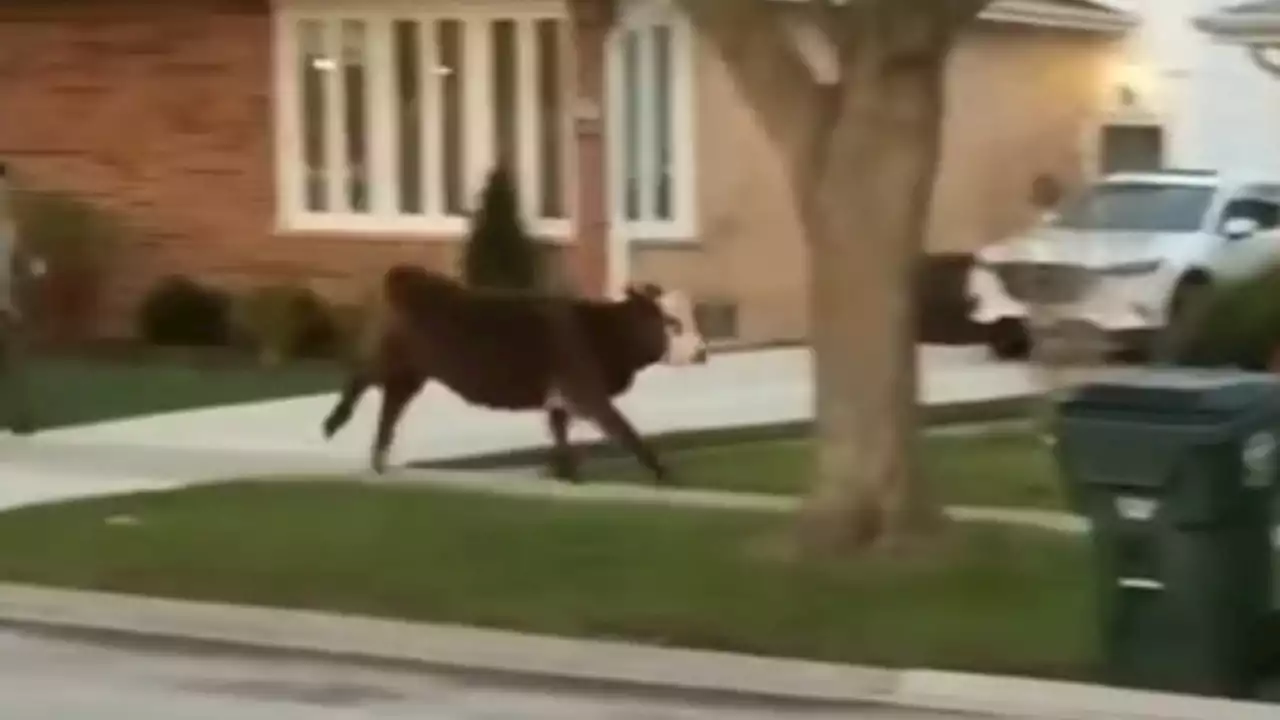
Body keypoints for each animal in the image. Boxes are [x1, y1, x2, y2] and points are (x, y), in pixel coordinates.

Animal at [316, 266, 706, 484]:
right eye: (672, 323)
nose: (702, 351)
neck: (601, 330)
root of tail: (406, 276)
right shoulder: (587, 393)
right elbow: (626, 431)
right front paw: (663, 473)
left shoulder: (560, 401)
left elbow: (561, 438)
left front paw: (565, 475)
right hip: (393, 361)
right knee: (360, 378)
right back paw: (333, 424)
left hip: (411, 375)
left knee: (390, 406)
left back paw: (378, 460)